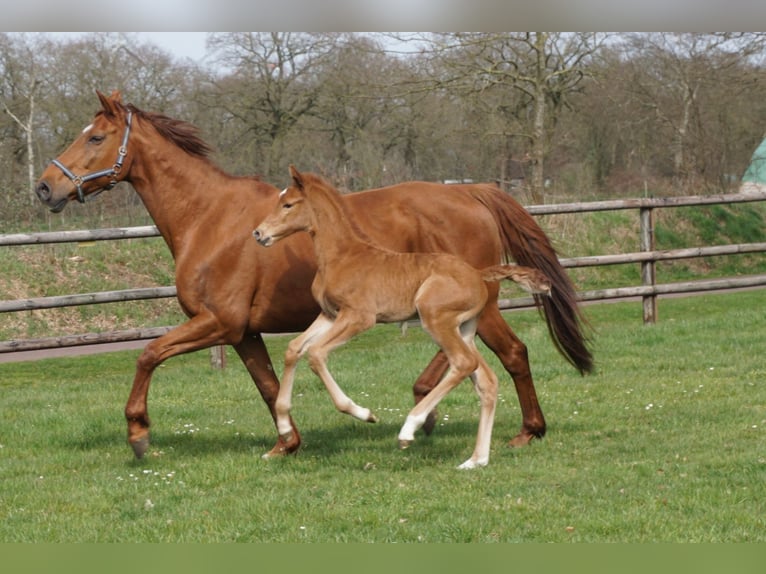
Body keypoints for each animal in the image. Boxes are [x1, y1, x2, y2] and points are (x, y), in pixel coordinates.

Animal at [253, 167, 552, 468]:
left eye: (288, 204)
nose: (259, 233)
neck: (343, 255)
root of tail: (478, 274)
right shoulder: (329, 315)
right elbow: (294, 348)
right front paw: (284, 428)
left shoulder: (359, 317)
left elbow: (315, 354)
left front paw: (364, 413)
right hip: (465, 328)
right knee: (486, 380)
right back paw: (476, 460)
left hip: (435, 319)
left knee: (463, 363)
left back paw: (410, 429)